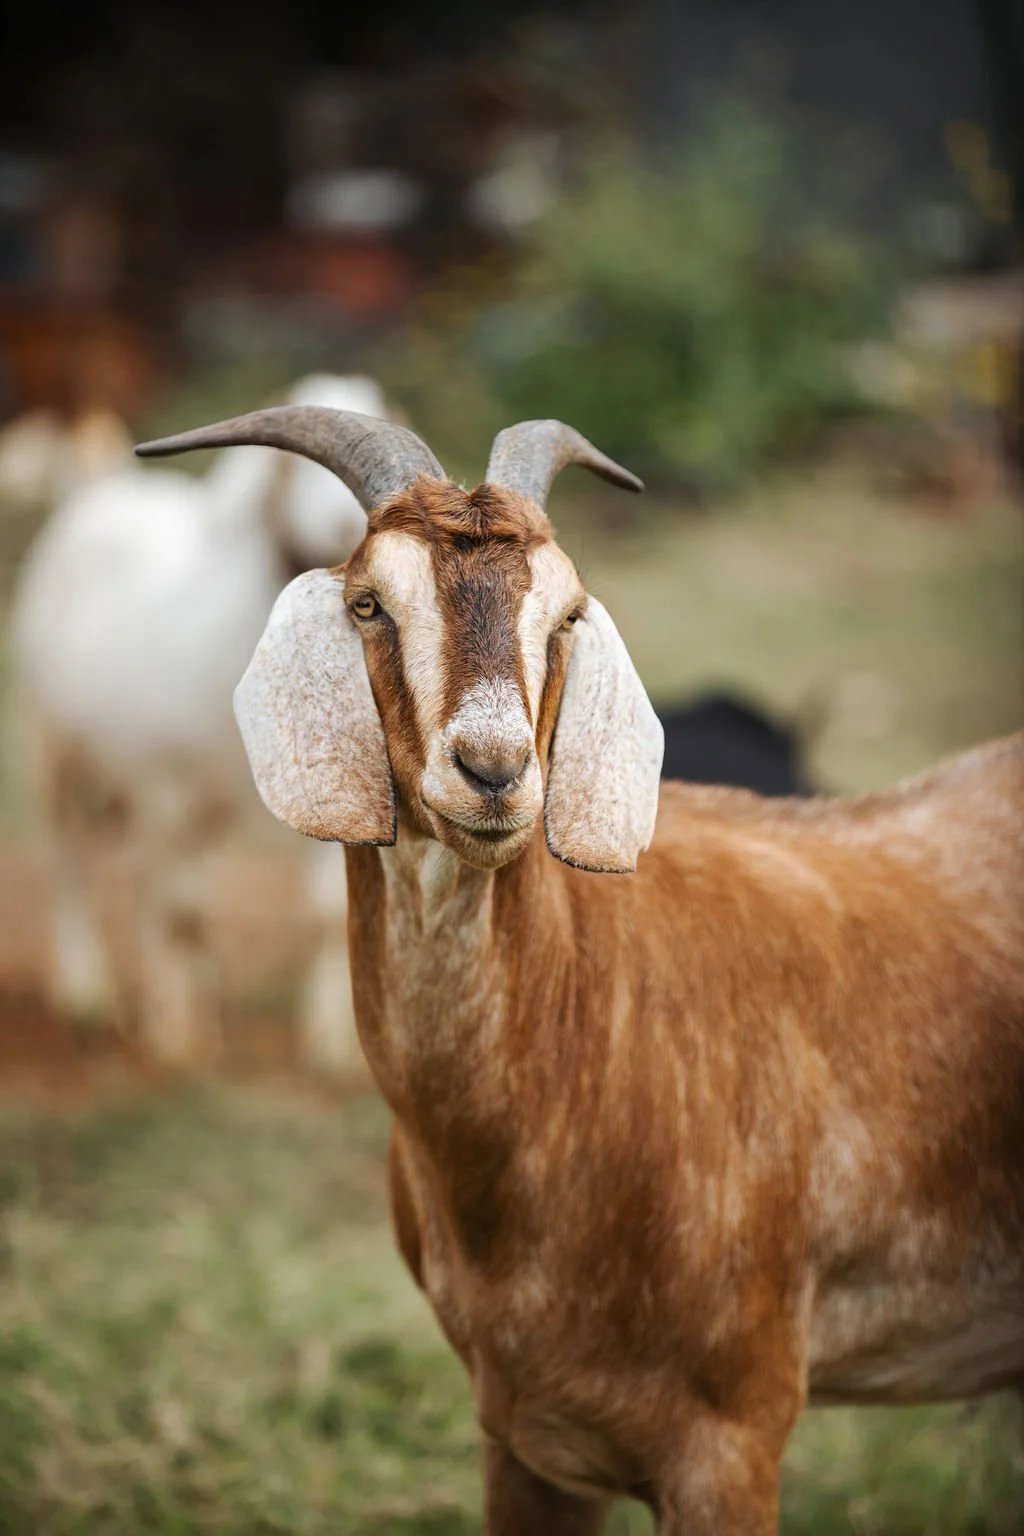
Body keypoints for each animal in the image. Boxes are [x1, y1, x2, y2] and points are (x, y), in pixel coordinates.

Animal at [10, 375, 391, 1074]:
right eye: (288, 466)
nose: (346, 523)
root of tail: (92, 491)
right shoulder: (171, 789)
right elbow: (185, 914)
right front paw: (183, 1044)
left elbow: (324, 914)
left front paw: (334, 1045)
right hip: (52, 748)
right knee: (71, 859)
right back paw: (89, 997)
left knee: (148, 882)